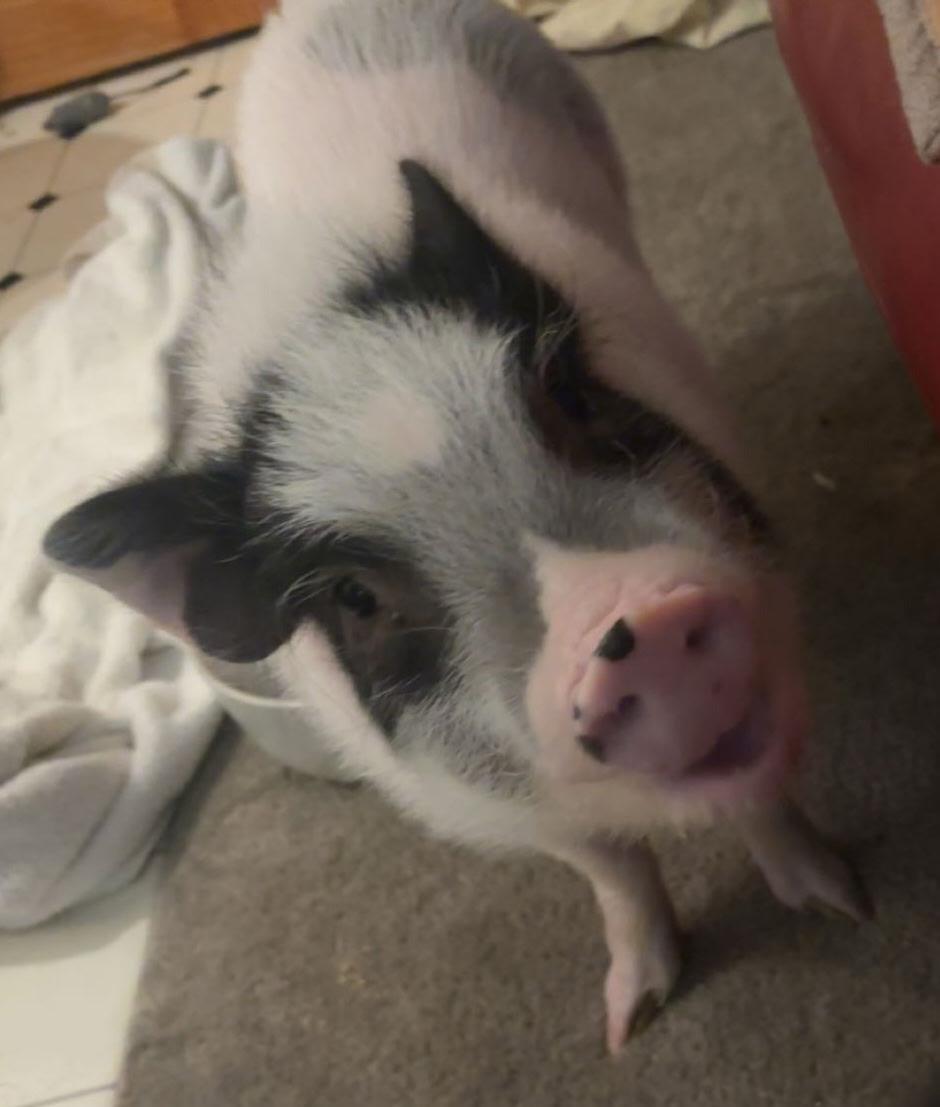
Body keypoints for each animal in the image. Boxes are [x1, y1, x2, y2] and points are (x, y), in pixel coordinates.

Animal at [43, 0, 871, 1052]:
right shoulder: (490, 801)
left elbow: (764, 798)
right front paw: (629, 1021)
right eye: (356, 596)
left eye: (571, 400)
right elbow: (614, 871)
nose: (634, 616)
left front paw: (845, 902)